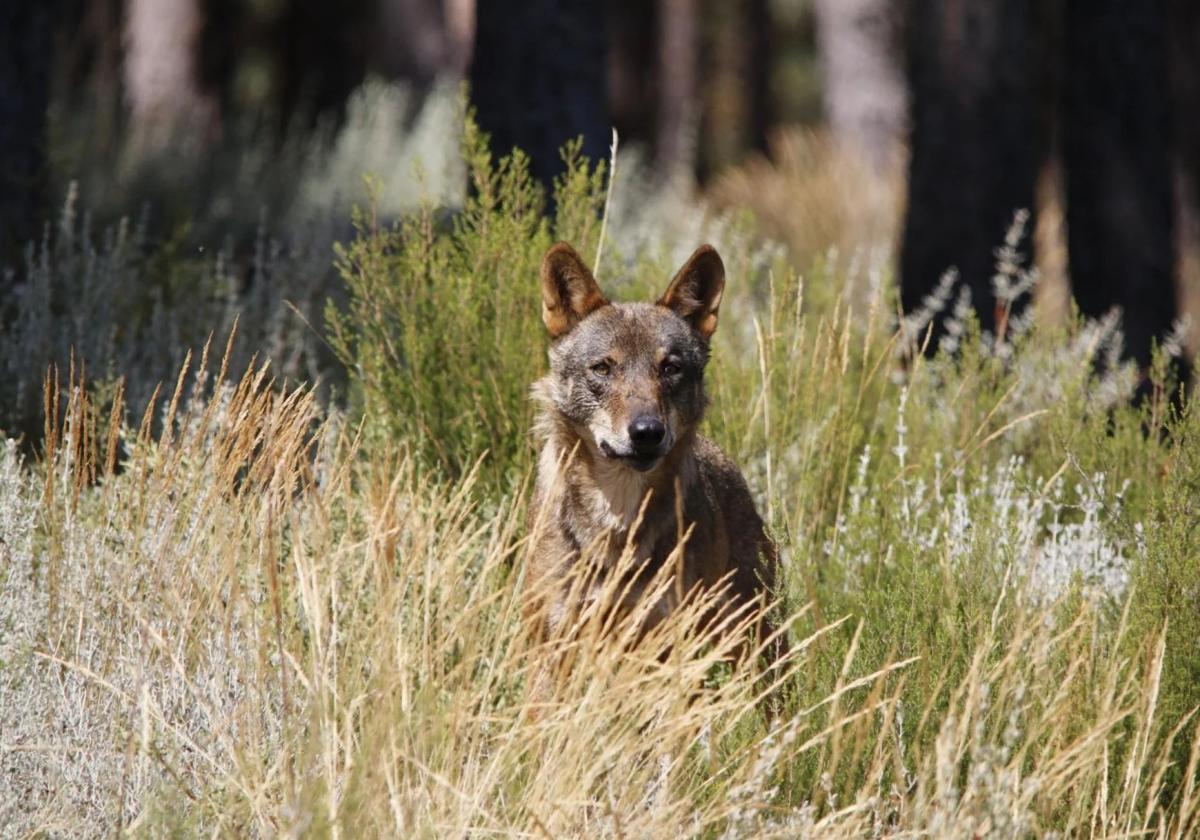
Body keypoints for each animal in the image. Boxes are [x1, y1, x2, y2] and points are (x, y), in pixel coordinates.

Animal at [520, 240, 782, 686]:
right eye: (603, 367)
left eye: (670, 368)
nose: (647, 432)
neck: (617, 521)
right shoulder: (551, 648)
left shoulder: (661, 647)